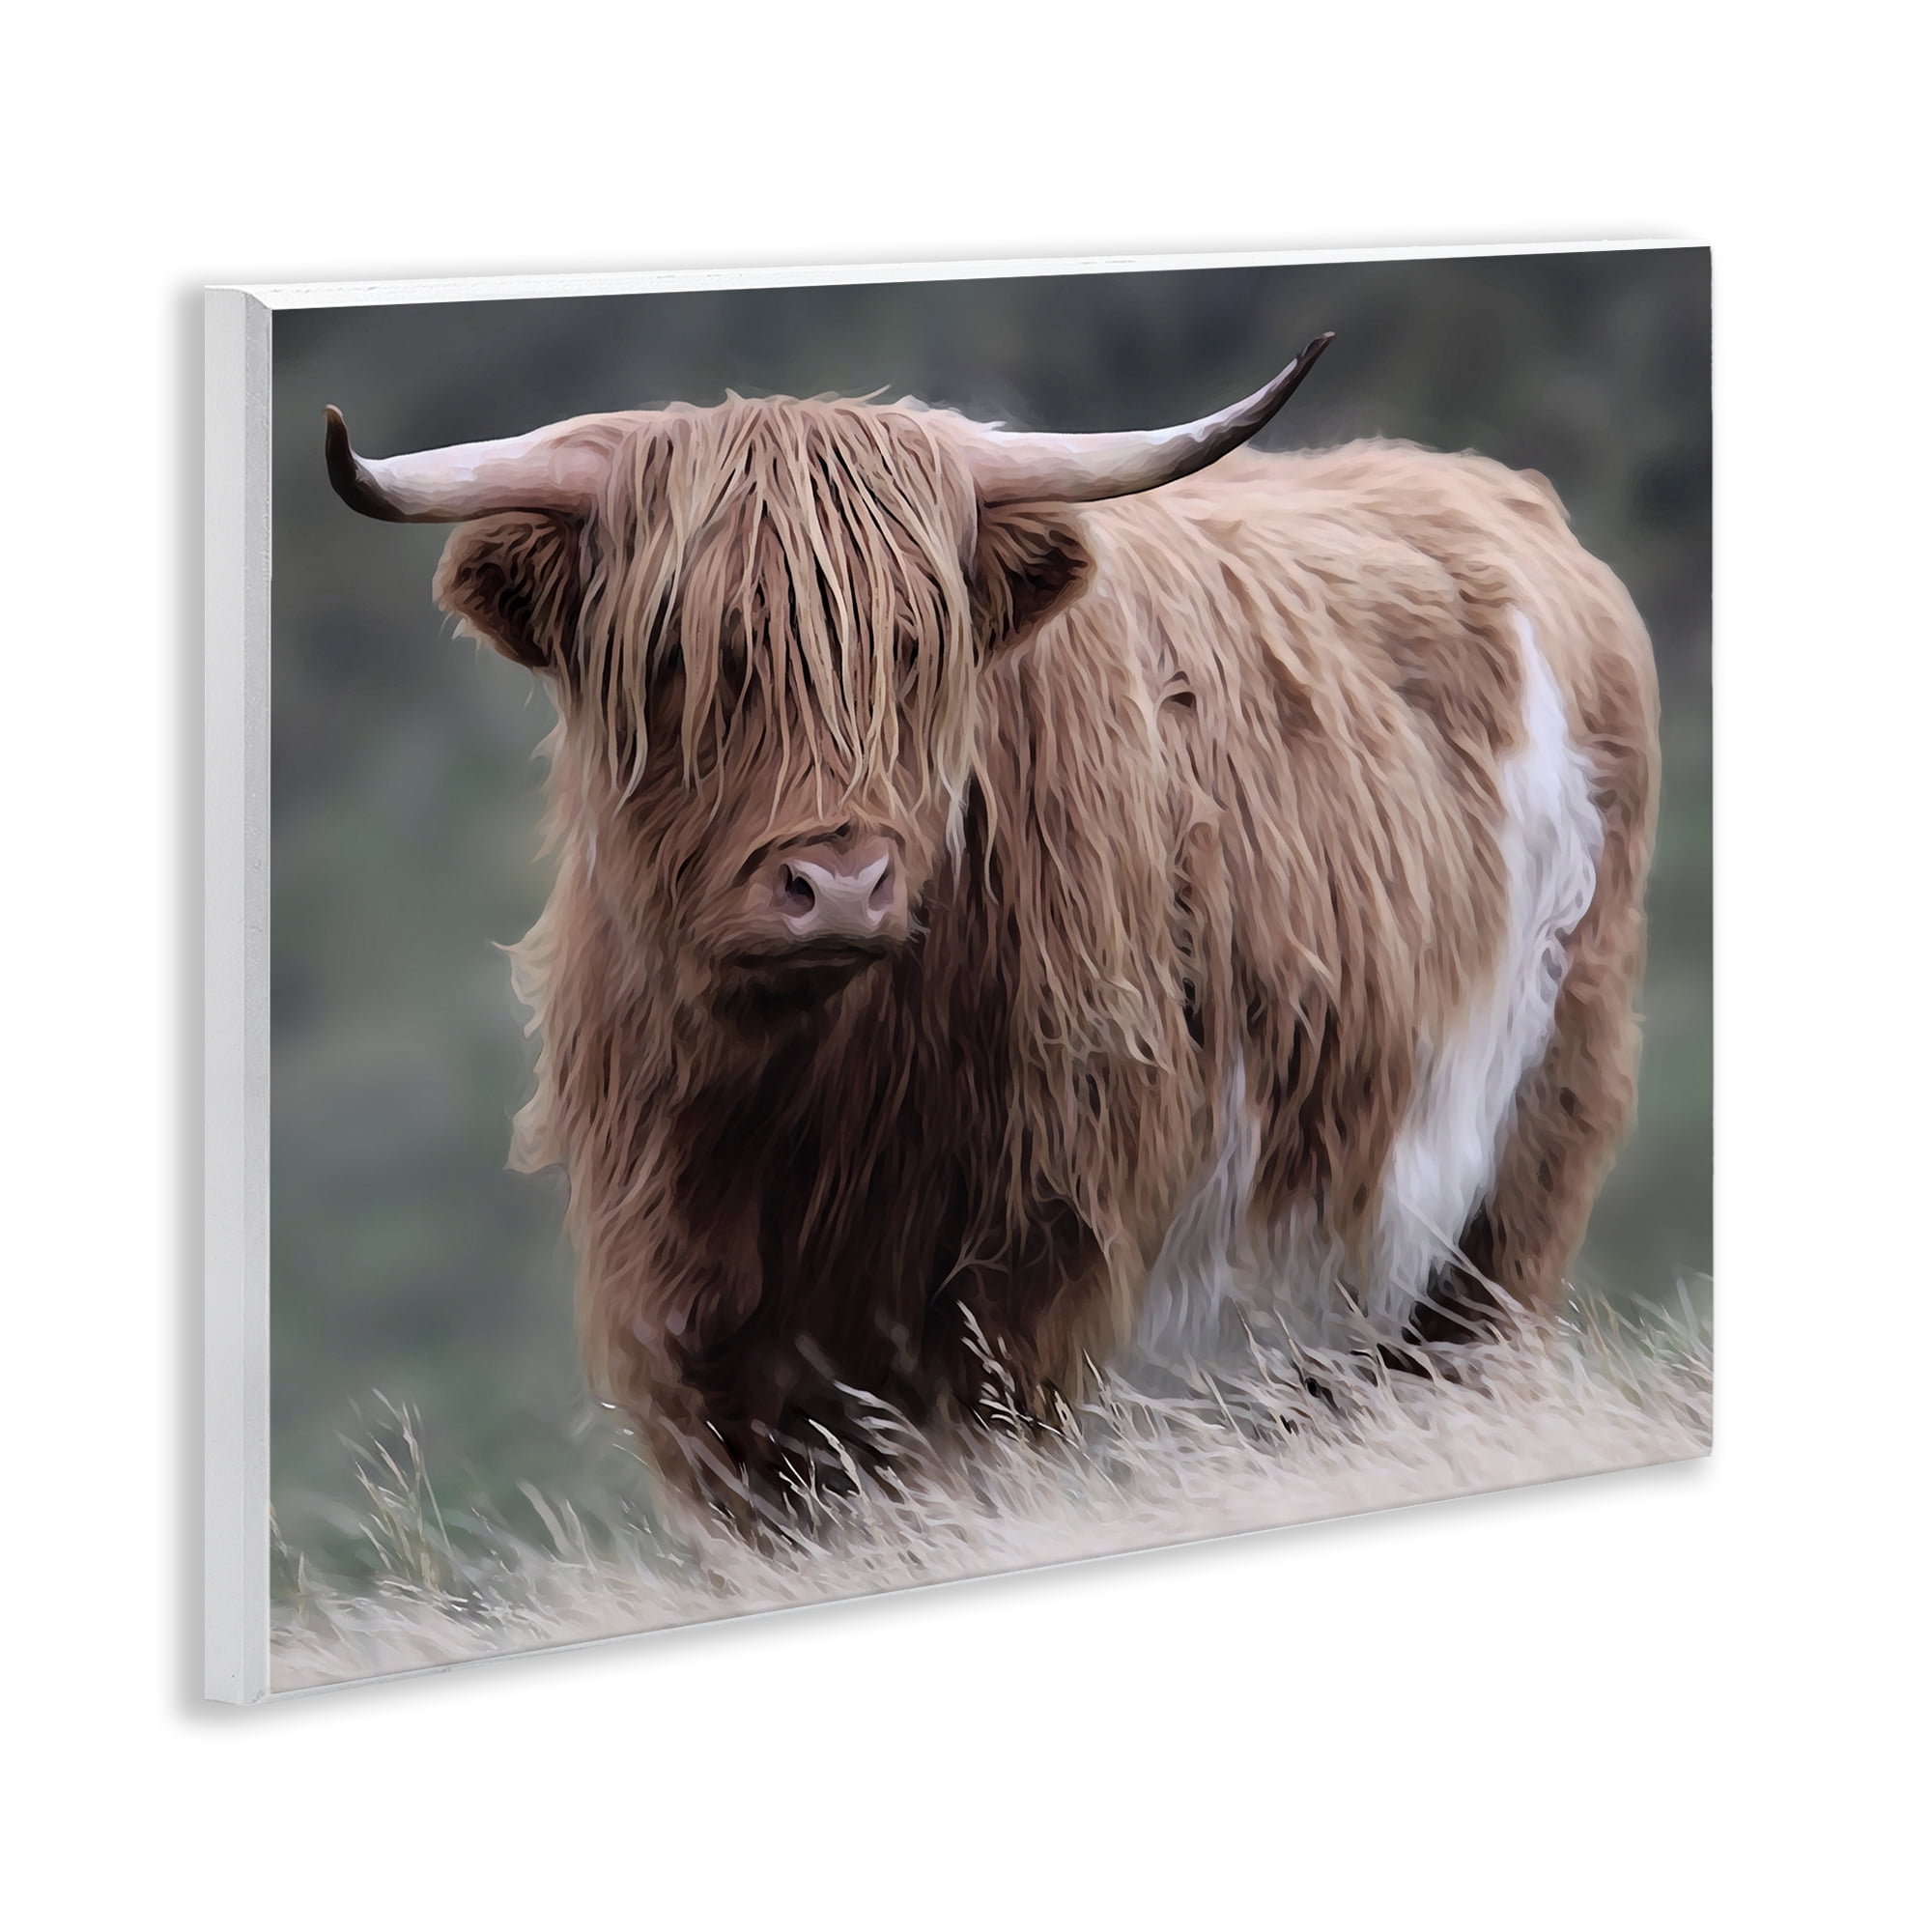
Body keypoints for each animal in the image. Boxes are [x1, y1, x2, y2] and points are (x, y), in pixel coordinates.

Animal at [323, 335, 1660, 1519]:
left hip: (1510, 1177)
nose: (840, 882)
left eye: (916, 648)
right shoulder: (695, 1337)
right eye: (682, 654)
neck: (798, 1105)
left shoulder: (1020, 1291)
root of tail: (1485, 487)